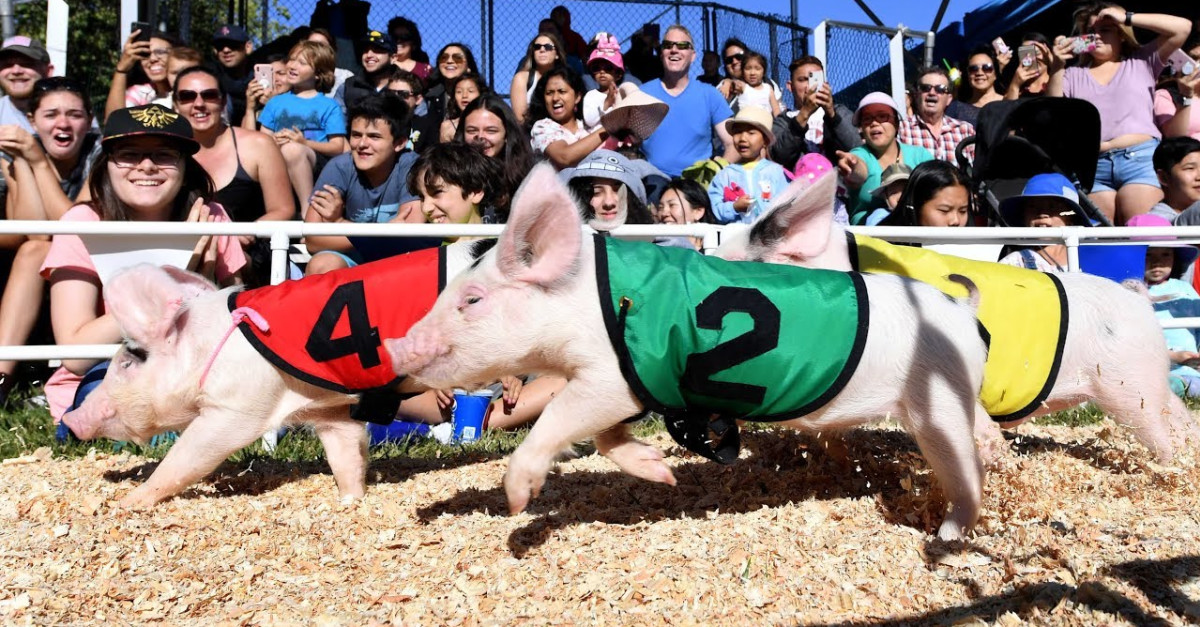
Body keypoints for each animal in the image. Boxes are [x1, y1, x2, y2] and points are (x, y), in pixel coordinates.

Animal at [61, 243, 482, 508]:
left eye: (128, 363)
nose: (72, 416)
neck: (210, 345)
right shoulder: (329, 410)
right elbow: (345, 451)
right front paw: (350, 500)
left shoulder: (238, 408)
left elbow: (189, 455)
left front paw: (128, 503)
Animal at [386, 163, 993, 541]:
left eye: (471, 299)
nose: (397, 347)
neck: (593, 301)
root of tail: (963, 313)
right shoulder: (639, 384)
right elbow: (605, 438)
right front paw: (662, 475)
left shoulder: (611, 376)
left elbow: (561, 416)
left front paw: (517, 505)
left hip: (937, 400)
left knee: (966, 471)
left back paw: (947, 536)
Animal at [717, 154, 1200, 464]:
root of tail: (1137, 298)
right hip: (1147, 379)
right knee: (1178, 414)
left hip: (1127, 385)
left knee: (1159, 428)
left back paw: (1169, 468)